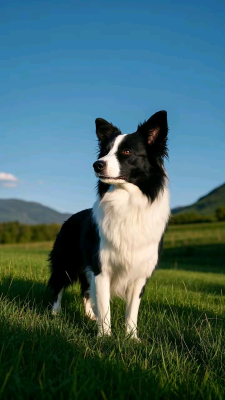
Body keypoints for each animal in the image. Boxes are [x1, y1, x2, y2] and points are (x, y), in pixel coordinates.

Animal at [48, 111, 170, 340]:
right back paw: (55, 313)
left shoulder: (139, 273)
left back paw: (89, 316)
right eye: (104, 152)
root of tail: (69, 218)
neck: (127, 202)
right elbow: (105, 307)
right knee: (58, 284)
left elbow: (132, 311)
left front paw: (131, 338)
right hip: (66, 261)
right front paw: (104, 338)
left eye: (127, 151)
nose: (97, 164)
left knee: (86, 291)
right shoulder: (101, 268)